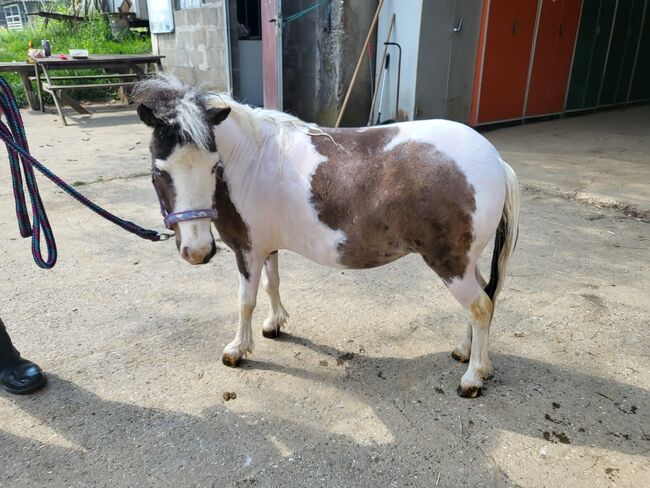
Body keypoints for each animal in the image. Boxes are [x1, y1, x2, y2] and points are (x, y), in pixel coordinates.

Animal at [134, 75, 520, 396]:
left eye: (214, 166)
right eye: (159, 171)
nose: (198, 251)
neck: (251, 161)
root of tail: (496, 160)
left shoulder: (247, 251)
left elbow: (245, 300)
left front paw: (237, 349)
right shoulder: (266, 248)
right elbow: (272, 284)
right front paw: (274, 324)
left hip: (450, 264)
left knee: (480, 306)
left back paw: (473, 377)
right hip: (465, 262)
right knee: (484, 296)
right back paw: (466, 353)